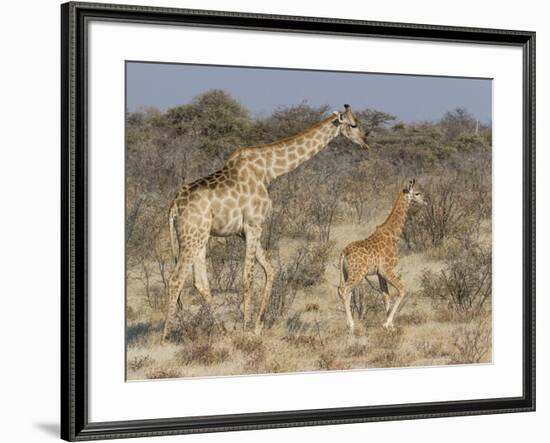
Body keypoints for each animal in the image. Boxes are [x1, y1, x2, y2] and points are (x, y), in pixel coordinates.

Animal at [164, 104, 370, 340]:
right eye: (353, 124)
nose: (366, 140)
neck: (269, 171)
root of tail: (174, 206)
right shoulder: (253, 225)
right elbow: (248, 276)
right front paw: (246, 328)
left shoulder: (244, 231)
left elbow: (270, 270)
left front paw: (257, 326)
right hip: (192, 236)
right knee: (176, 278)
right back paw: (166, 336)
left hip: (200, 236)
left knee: (200, 282)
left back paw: (221, 330)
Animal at [340, 180, 426, 332]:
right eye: (417, 193)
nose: (425, 201)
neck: (393, 235)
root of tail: (344, 252)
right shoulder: (386, 269)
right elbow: (402, 290)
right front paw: (388, 323)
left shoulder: (380, 273)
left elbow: (386, 296)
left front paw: (389, 326)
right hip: (358, 273)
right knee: (344, 290)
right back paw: (351, 325)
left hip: (347, 273)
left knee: (347, 291)